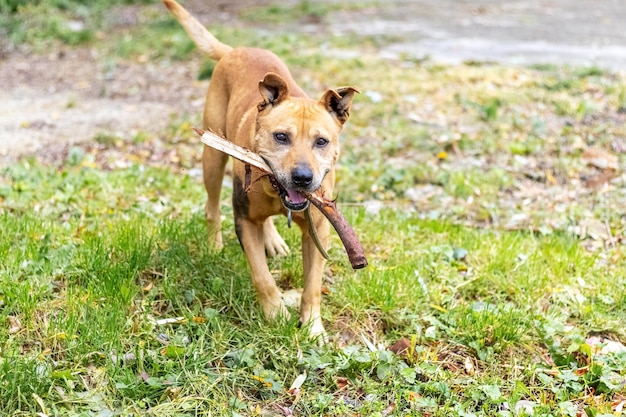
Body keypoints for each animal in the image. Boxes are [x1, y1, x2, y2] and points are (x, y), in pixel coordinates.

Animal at [162, 0, 356, 338]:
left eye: (321, 141)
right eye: (281, 137)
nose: (302, 178)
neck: (277, 194)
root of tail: (234, 50)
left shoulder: (318, 230)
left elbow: (312, 286)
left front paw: (314, 328)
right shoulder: (245, 222)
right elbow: (262, 277)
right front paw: (275, 314)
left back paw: (273, 241)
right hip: (212, 158)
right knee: (212, 205)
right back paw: (214, 244)